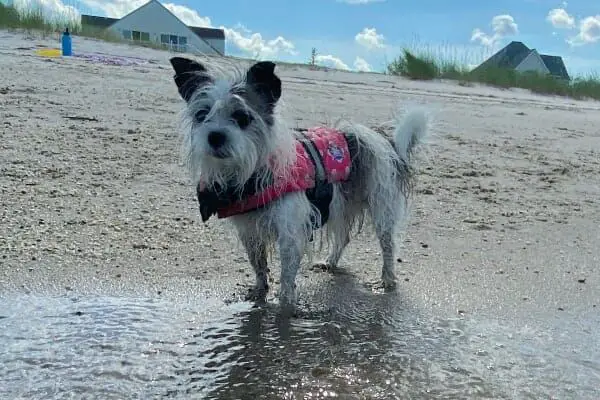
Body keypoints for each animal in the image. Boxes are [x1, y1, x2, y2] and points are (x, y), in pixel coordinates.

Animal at [168, 57, 426, 312]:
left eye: (242, 117)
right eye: (201, 115)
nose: (214, 136)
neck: (252, 173)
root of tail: (386, 142)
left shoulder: (290, 231)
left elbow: (287, 273)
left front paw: (285, 304)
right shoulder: (249, 231)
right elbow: (257, 263)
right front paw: (259, 291)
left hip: (382, 205)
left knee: (387, 244)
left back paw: (387, 280)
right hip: (341, 204)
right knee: (343, 236)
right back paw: (331, 262)